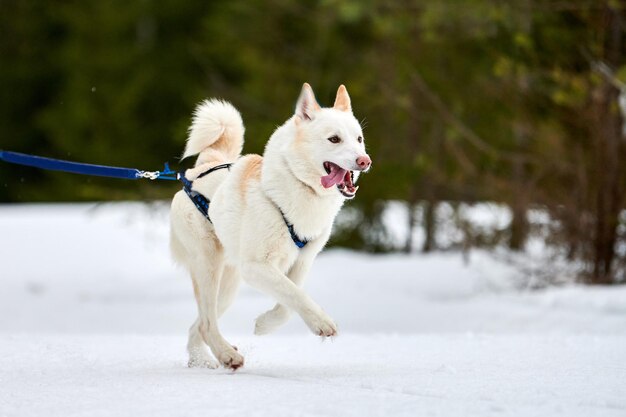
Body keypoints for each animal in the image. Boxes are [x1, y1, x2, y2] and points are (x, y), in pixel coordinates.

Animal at [168, 83, 368, 368]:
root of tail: (199, 170)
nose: (365, 161)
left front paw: (264, 325)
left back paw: (203, 359)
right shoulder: (256, 267)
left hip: (229, 285)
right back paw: (226, 354)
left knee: (200, 324)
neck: (300, 189)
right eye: (334, 139)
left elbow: (288, 303)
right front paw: (321, 322)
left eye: (359, 139)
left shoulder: (302, 262)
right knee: (207, 323)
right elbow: (295, 294)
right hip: (209, 267)